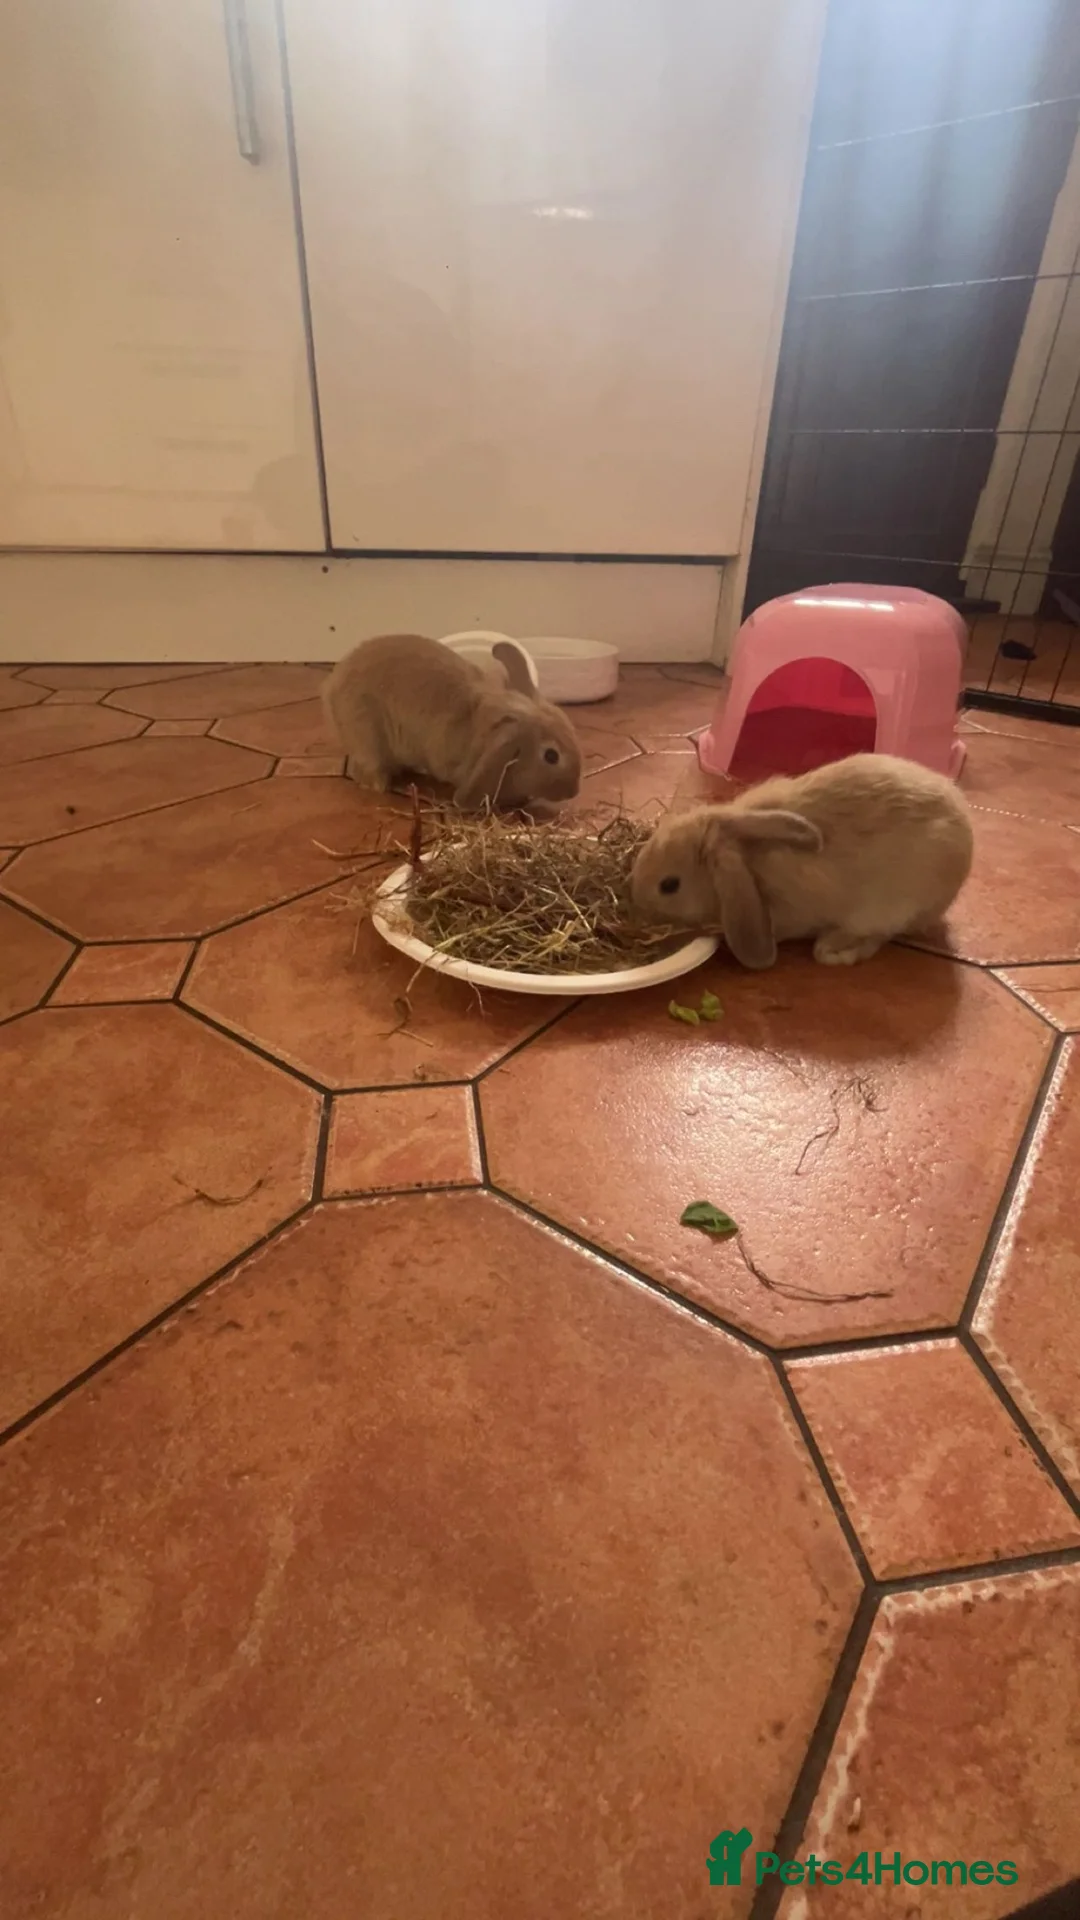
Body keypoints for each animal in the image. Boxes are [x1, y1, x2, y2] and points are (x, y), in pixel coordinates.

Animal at [630, 752, 973, 969]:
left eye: (669, 885)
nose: (638, 907)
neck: (748, 861)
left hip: (897, 905)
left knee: (880, 934)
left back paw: (834, 949)